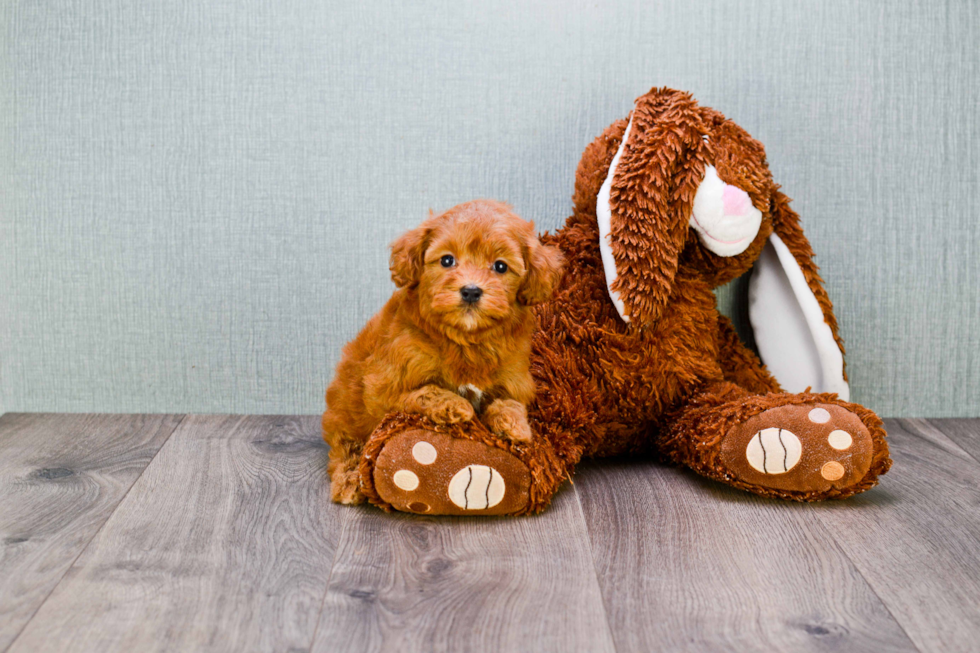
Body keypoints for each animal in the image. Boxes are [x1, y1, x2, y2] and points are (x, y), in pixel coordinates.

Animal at [324, 199, 564, 504]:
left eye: (500, 266)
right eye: (447, 260)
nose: (471, 290)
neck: (465, 340)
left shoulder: (515, 377)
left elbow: (510, 401)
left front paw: (515, 425)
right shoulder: (383, 388)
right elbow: (425, 391)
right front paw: (454, 405)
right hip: (345, 412)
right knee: (346, 448)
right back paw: (349, 482)